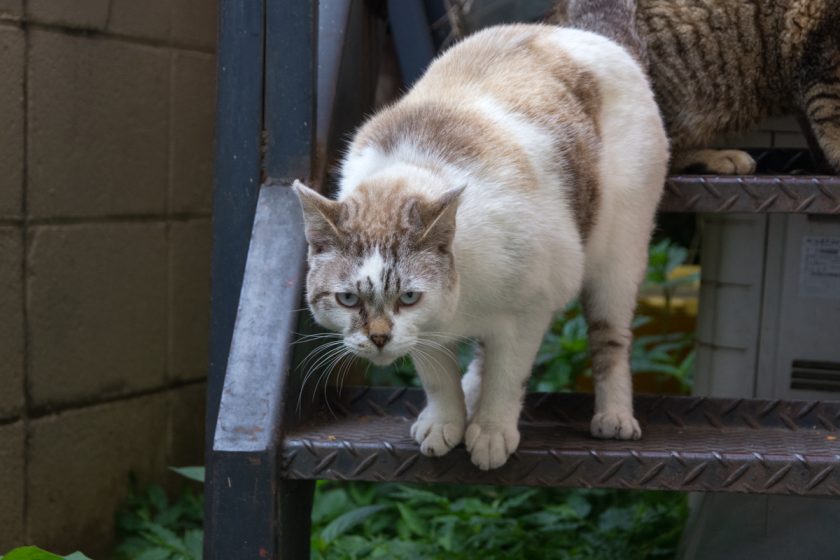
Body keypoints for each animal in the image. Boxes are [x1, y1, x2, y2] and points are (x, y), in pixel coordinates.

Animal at [296, 23, 668, 468]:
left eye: (407, 297)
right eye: (348, 299)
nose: (379, 339)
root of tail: (569, 29)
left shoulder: (530, 309)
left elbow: (508, 378)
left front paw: (491, 432)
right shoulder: (428, 332)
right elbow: (438, 378)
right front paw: (446, 422)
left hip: (618, 257)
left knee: (611, 338)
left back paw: (614, 417)